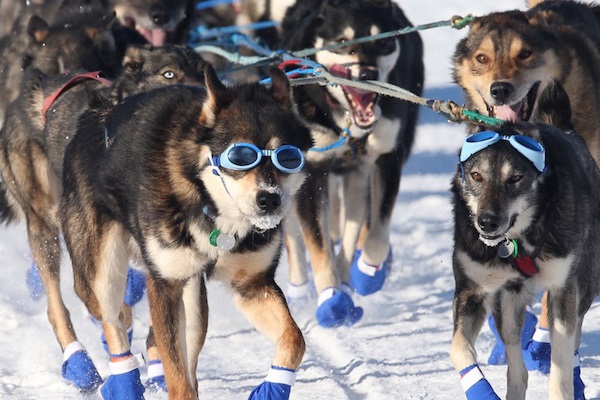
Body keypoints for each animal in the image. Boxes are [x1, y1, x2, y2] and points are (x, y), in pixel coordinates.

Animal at [58, 66, 312, 400]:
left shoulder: (253, 285)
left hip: (192, 300)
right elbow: (174, 371)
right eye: (241, 156)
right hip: (101, 276)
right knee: (113, 321)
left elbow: (295, 339)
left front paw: (273, 387)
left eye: (289, 157)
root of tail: (95, 114)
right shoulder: (164, 284)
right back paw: (123, 382)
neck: (210, 206)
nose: (269, 199)